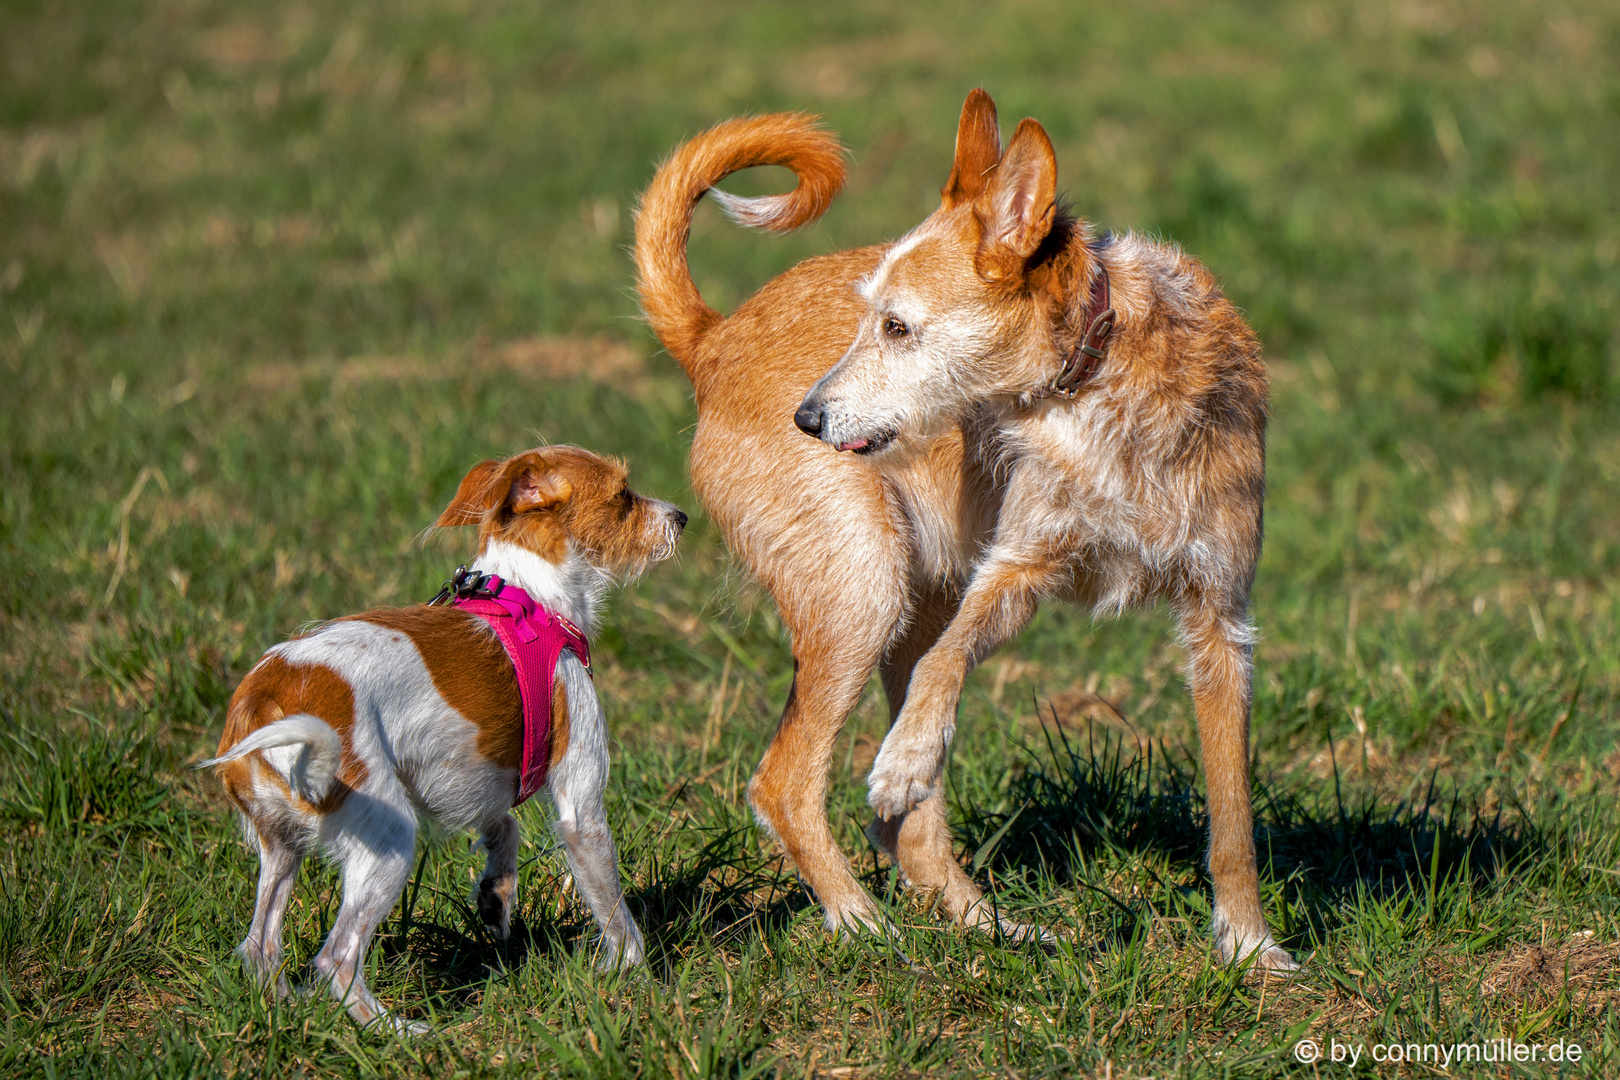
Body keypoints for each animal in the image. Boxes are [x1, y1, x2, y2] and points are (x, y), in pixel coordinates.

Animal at [202, 446, 683, 1029]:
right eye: (623, 495)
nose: (682, 516)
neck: (531, 598)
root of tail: (261, 697)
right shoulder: (581, 808)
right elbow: (614, 908)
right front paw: (642, 982)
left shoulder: (457, 773)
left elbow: (504, 826)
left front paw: (496, 895)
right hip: (387, 839)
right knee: (337, 957)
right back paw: (397, 1030)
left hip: (282, 845)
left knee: (260, 945)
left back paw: (286, 1007)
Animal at [638, 95, 1296, 971]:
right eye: (871, 320)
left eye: (895, 327)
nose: (806, 420)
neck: (1099, 371)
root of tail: (713, 339)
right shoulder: (1013, 570)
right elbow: (945, 670)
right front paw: (907, 757)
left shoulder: (1220, 622)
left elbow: (1233, 817)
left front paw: (1252, 948)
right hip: (866, 592)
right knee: (784, 783)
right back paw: (863, 924)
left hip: (912, 599)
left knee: (905, 827)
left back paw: (992, 929)